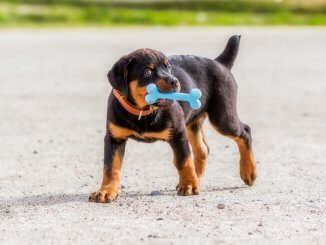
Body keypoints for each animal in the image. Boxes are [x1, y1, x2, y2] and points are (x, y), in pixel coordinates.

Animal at [89, 35, 258, 203]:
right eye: (147, 72)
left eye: (169, 68)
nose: (175, 81)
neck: (143, 111)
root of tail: (220, 63)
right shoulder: (114, 138)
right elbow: (111, 168)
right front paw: (106, 190)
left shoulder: (178, 133)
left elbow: (184, 160)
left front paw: (189, 185)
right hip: (193, 122)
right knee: (203, 149)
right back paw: (198, 178)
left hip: (222, 117)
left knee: (245, 131)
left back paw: (248, 172)